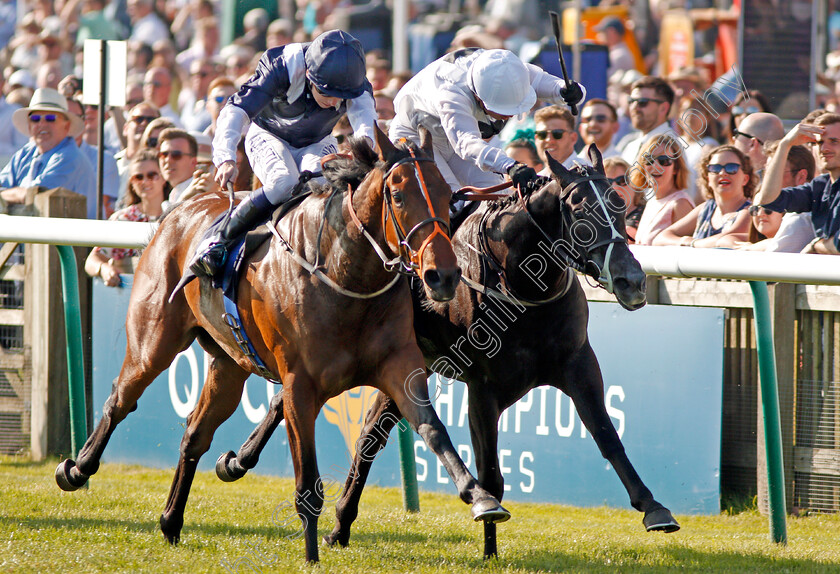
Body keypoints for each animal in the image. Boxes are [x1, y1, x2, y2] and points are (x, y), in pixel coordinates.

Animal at [57, 126, 512, 564]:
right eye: (398, 195)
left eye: (449, 196)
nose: (443, 276)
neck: (346, 274)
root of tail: (180, 209)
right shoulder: (299, 386)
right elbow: (307, 480)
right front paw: (311, 554)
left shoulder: (399, 367)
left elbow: (432, 429)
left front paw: (481, 497)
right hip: (152, 342)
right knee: (121, 399)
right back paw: (76, 469)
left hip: (229, 365)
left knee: (195, 433)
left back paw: (170, 521)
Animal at [213, 145, 680, 564]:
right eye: (580, 210)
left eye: (620, 205)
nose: (633, 281)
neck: (523, 286)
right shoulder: (483, 387)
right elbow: (492, 473)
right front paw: (490, 545)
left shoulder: (578, 364)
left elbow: (607, 435)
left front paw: (654, 508)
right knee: (298, 404)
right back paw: (240, 461)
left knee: (368, 435)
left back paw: (338, 524)